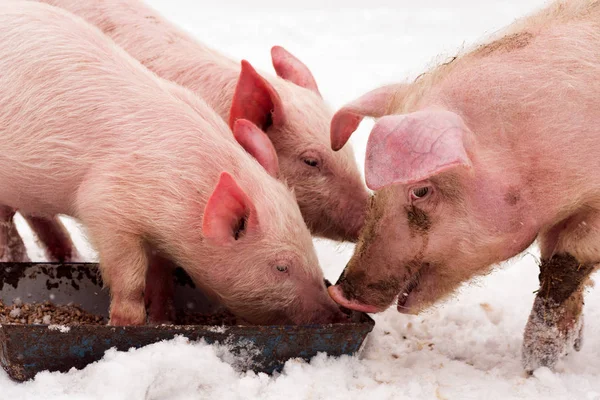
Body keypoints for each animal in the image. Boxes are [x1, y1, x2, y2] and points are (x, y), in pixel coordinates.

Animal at [328, 0, 600, 372]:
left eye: (421, 190)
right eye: (377, 193)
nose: (340, 292)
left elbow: (563, 267)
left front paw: (536, 366)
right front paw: (568, 350)